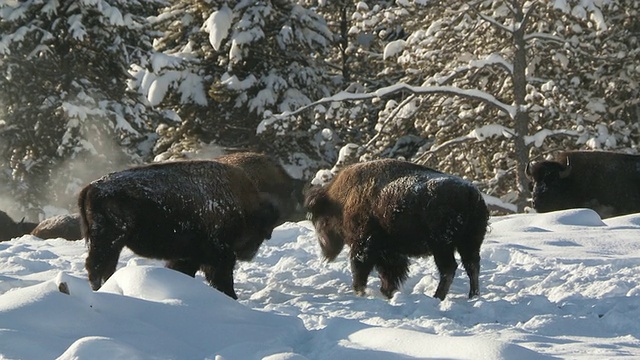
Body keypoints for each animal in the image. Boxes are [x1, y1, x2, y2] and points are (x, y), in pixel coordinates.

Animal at [77, 160, 280, 298]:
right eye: (262, 230)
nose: (250, 253)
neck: (243, 205)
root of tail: (91, 187)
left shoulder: (189, 256)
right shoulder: (220, 255)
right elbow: (221, 278)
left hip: (113, 244)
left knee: (105, 266)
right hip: (109, 241)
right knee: (96, 265)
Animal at [304, 159, 490, 300]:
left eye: (321, 220)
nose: (325, 250)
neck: (341, 201)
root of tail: (471, 194)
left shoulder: (365, 245)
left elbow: (361, 267)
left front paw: (361, 290)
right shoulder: (389, 252)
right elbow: (390, 272)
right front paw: (387, 292)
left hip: (442, 245)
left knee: (450, 269)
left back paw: (438, 296)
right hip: (469, 243)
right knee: (472, 266)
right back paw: (472, 296)